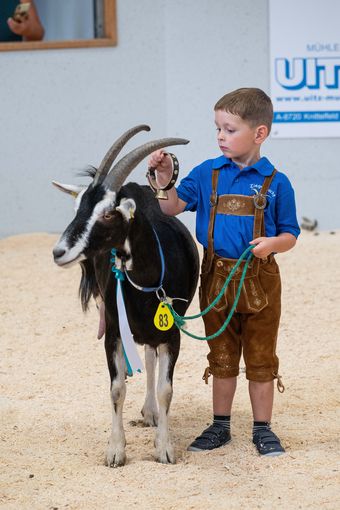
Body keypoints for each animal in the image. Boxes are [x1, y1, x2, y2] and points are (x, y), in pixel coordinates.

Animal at [51, 126, 198, 466]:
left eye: (108, 213)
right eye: (77, 208)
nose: (59, 251)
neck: (148, 281)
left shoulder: (172, 333)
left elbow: (166, 390)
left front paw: (164, 448)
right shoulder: (115, 331)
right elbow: (117, 388)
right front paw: (116, 450)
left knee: (150, 358)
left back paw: (151, 412)